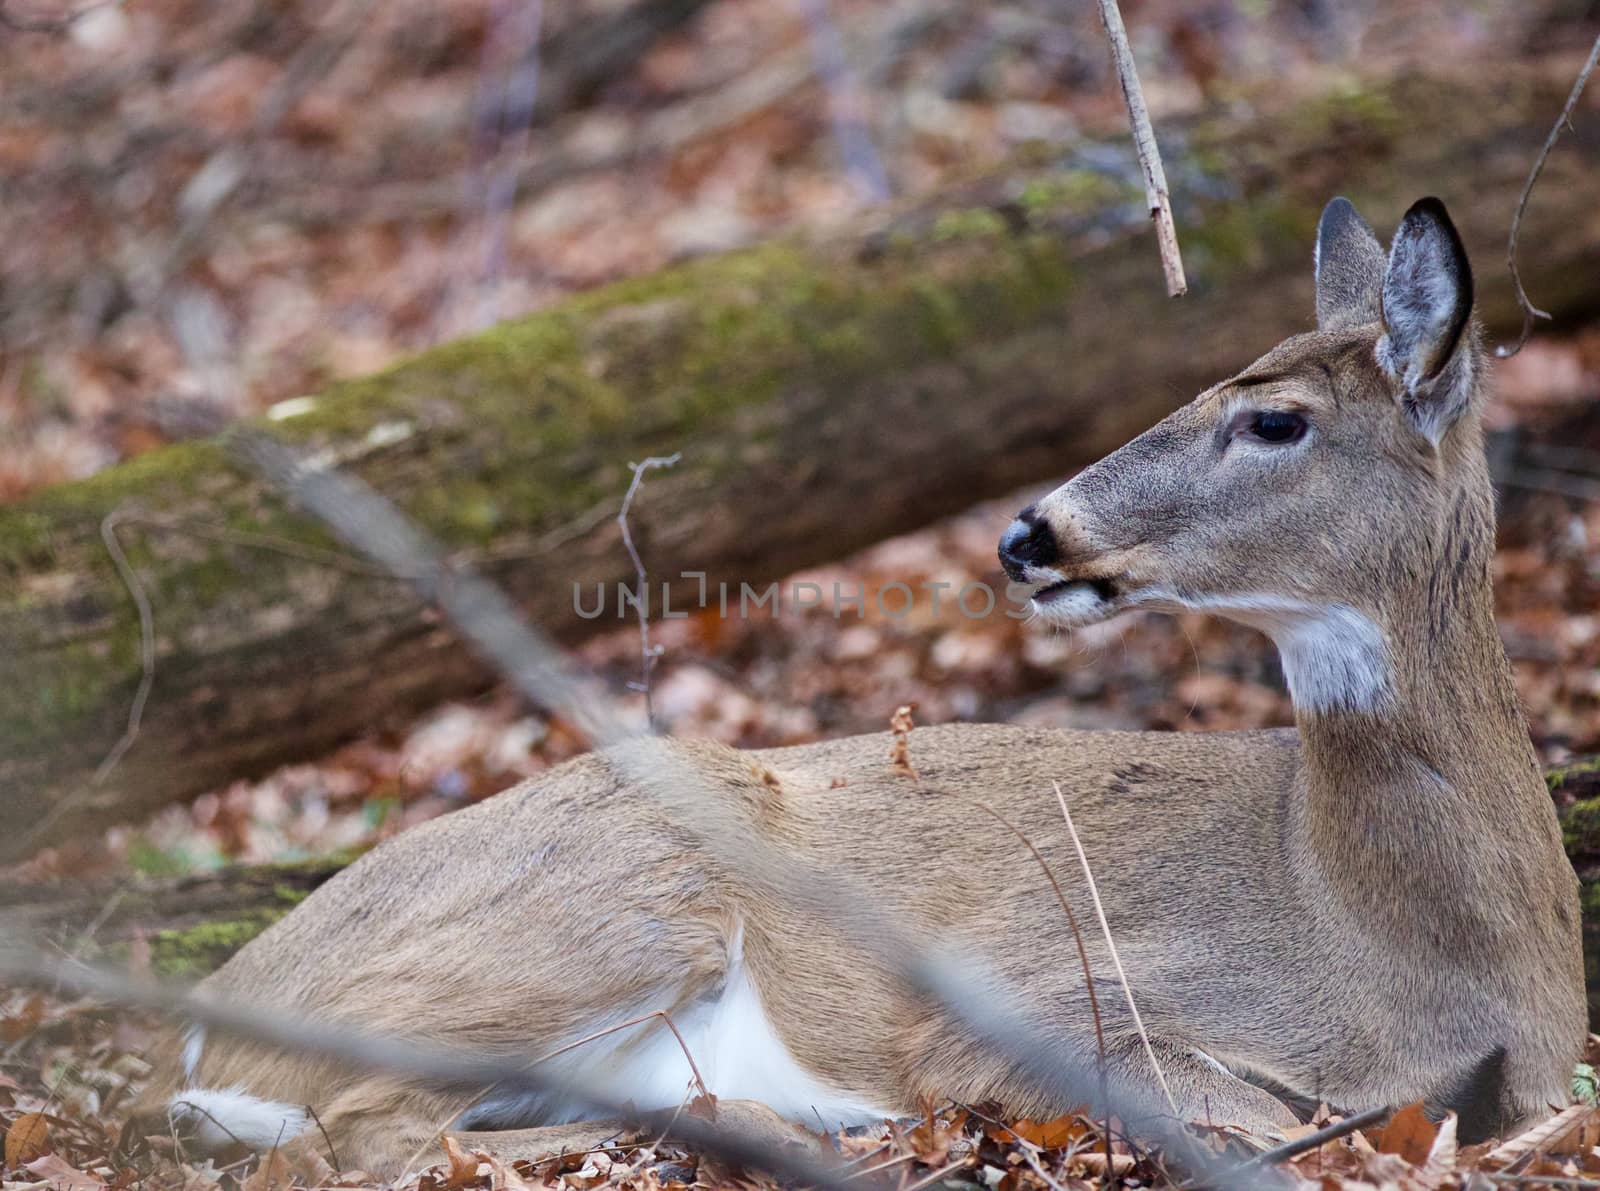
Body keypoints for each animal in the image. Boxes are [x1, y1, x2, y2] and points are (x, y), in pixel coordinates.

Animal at [134, 195, 1587, 1171]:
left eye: (1274, 418)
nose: (1029, 532)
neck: (1401, 947)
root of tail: (212, 1016)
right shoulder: (1037, 996)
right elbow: (1244, 1114)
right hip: (617, 895)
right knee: (367, 1133)